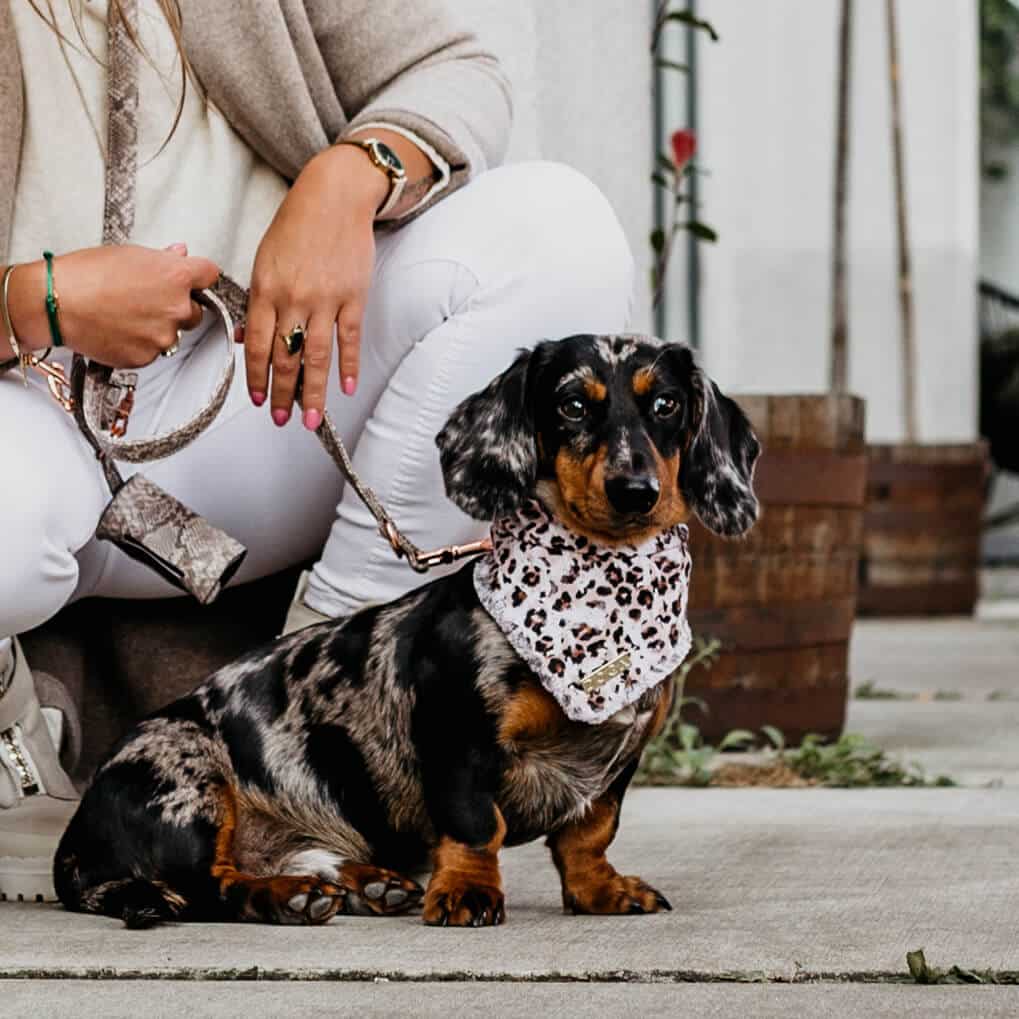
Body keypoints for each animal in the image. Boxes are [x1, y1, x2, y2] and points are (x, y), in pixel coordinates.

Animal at [53, 332, 758, 925]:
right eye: (572, 406)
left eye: (665, 404)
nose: (635, 490)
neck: (599, 601)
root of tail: (76, 843)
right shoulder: (458, 742)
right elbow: (476, 826)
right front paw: (469, 891)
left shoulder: (617, 764)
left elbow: (590, 832)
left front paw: (598, 890)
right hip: (189, 787)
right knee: (212, 888)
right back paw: (287, 895)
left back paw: (366, 882)